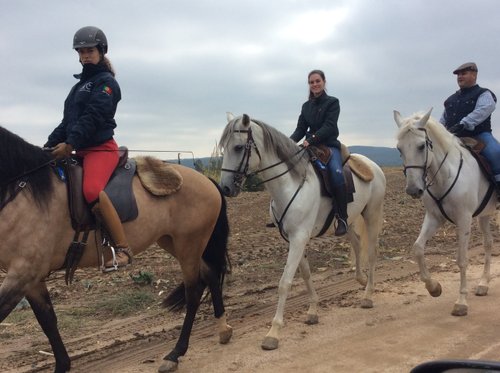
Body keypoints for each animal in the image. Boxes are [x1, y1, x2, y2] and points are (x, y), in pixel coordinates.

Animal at [0, 125, 232, 372]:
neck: (24, 191)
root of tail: (206, 180)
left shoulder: (23, 273)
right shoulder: (30, 278)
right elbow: (47, 320)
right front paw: (62, 365)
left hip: (189, 243)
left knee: (194, 290)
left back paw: (175, 353)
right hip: (176, 242)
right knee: (210, 274)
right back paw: (223, 330)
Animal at [219, 112, 386, 348]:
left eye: (238, 147)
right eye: (223, 148)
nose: (225, 187)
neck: (289, 184)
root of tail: (373, 166)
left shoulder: (299, 238)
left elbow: (285, 282)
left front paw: (273, 332)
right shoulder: (293, 239)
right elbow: (305, 274)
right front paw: (313, 310)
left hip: (372, 214)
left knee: (371, 252)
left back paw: (368, 295)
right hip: (348, 221)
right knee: (356, 241)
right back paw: (360, 279)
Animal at [394, 109, 496, 316]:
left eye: (421, 146)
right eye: (399, 149)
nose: (413, 190)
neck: (444, 176)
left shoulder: (464, 220)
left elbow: (462, 259)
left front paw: (461, 302)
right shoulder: (434, 218)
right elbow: (418, 248)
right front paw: (433, 287)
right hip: (484, 216)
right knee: (488, 243)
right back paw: (483, 284)